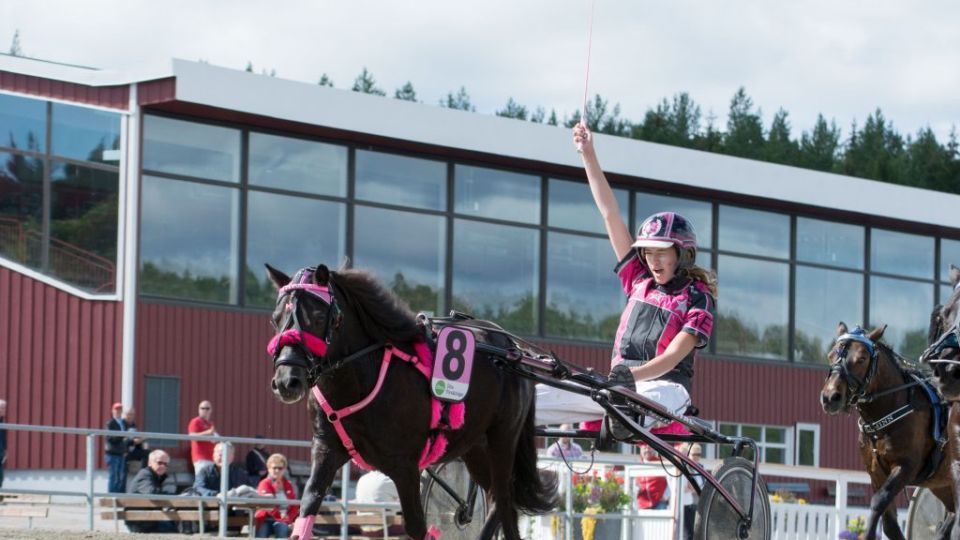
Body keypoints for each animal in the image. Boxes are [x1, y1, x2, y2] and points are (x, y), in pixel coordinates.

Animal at [820, 322, 956, 536]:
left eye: (862, 358)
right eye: (831, 355)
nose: (830, 397)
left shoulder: (905, 467)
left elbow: (878, 502)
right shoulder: (875, 472)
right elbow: (889, 522)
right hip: (943, 483)